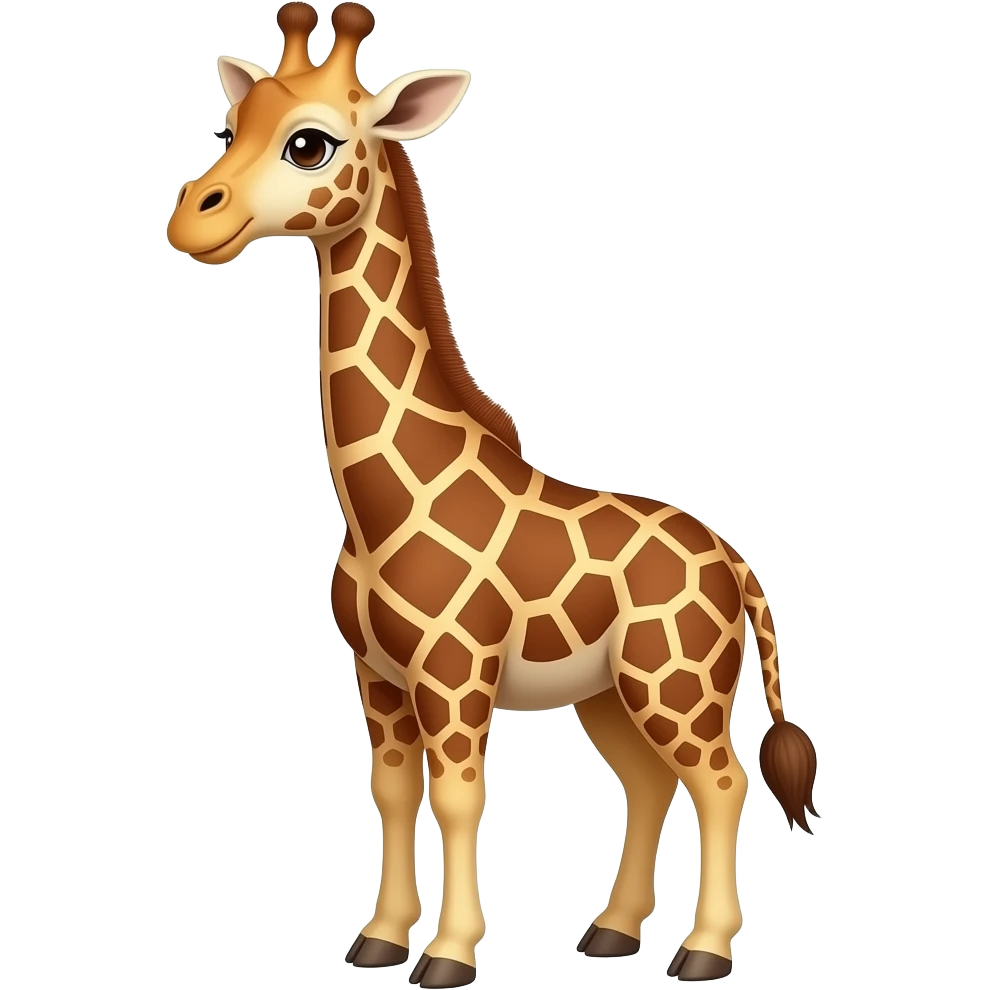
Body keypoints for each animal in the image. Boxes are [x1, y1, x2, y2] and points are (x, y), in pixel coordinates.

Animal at [165, 3, 821, 986]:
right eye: (232, 126)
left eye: (310, 143)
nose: (192, 219)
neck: (378, 508)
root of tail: (736, 564)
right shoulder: (377, 676)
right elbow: (393, 793)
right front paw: (379, 939)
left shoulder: (454, 670)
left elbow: (458, 799)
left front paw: (448, 956)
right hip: (609, 691)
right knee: (651, 781)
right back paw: (612, 933)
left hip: (677, 681)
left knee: (722, 779)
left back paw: (702, 952)